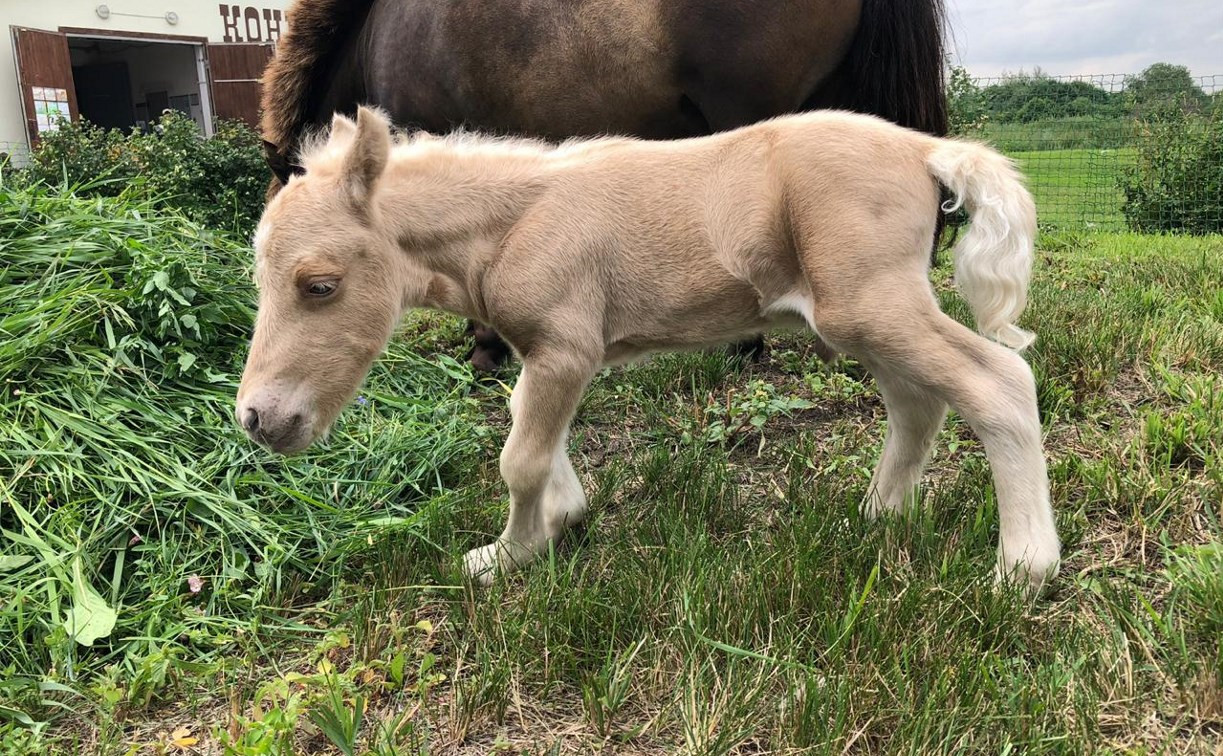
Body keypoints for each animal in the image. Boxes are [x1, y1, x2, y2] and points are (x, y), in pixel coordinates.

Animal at [236, 104, 1061, 589]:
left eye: (318, 285)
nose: (258, 419)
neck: (510, 224)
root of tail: (927, 149)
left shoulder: (566, 346)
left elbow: (519, 456)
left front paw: (508, 557)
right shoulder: (546, 352)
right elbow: (528, 424)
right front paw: (562, 520)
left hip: (872, 304)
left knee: (998, 381)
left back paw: (1023, 567)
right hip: (862, 315)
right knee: (917, 403)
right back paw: (879, 514)